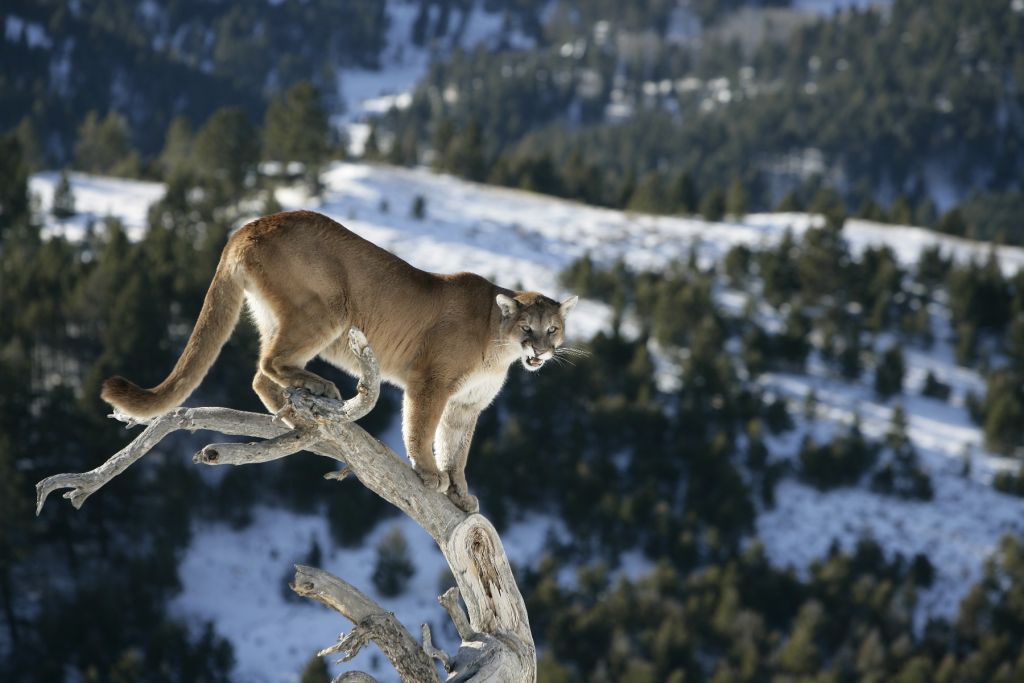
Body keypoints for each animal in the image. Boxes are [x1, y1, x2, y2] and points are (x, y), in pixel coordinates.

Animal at [100, 210, 581, 509]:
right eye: (527, 329)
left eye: (553, 329)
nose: (541, 351)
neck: (496, 345)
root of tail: (250, 224)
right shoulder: (432, 383)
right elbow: (422, 431)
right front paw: (429, 475)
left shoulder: (466, 405)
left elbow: (457, 449)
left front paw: (460, 494)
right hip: (328, 308)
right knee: (270, 364)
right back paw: (317, 390)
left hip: (278, 314)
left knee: (259, 373)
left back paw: (296, 416)